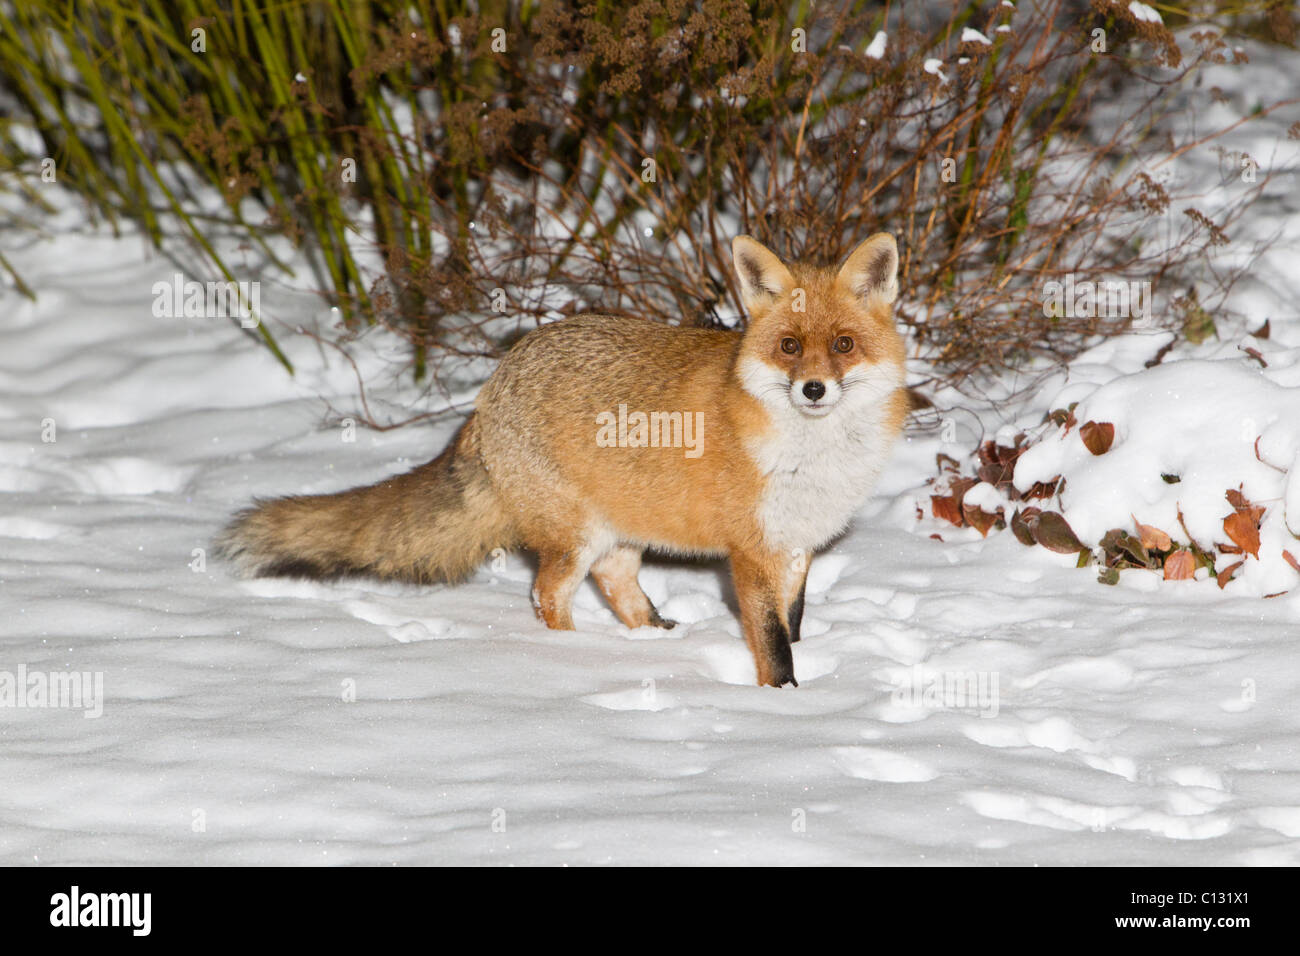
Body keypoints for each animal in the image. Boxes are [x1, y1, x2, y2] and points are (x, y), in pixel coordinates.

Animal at [215, 238, 904, 686]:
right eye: (788, 346)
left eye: (843, 345)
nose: (813, 389)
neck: (813, 456)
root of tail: (493, 383)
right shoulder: (752, 552)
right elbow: (773, 645)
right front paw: (784, 704)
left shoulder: (796, 545)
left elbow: (793, 627)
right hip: (572, 537)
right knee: (547, 595)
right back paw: (568, 665)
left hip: (617, 531)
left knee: (618, 584)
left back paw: (654, 639)